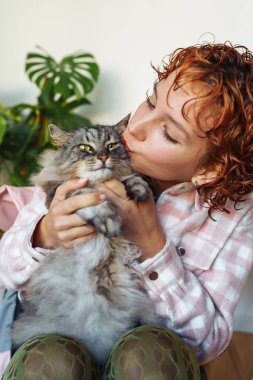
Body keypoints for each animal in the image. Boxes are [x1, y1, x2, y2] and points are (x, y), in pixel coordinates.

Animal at [11, 114, 159, 364]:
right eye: (85, 148)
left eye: (112, 145)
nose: (102, 157)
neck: (100, 184)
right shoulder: (64, 193)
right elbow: (92, 199)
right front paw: (109, 220)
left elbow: (130, 178)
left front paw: (139, 190)